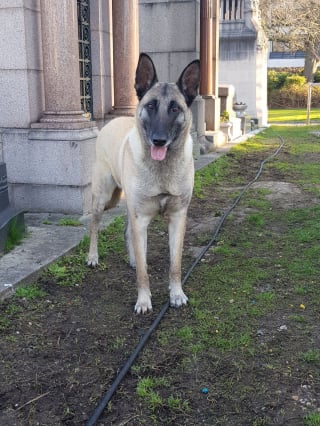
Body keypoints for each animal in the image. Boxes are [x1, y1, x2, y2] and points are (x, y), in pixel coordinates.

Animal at [86, 52, 199, 312]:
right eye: (150, 106)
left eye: (175, 108)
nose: (158, 140)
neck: (162, 169)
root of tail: (110, 122)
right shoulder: (141, 219)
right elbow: (144, 272)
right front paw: (144, 300)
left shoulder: (178, 218)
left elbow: (175, 264)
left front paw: (176, 293)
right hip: (103, 198)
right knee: (95, 226)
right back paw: (93, 256)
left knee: (128, 232)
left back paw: (132, 260)